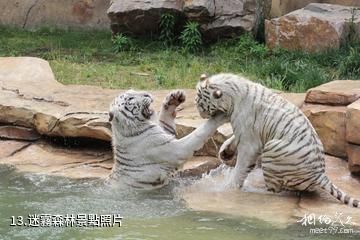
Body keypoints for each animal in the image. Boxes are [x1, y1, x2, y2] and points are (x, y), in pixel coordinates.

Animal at [195, 73, 358, 208]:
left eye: (202, 106)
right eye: (197, 102)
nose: (201, 114)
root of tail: (321, 174)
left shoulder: (249, 141)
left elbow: (241, 165)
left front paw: (230, 186)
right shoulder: (247, 132)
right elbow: (233, 138)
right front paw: (224, 152)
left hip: (272, 149)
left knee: (277, 190)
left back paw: (257, 190)